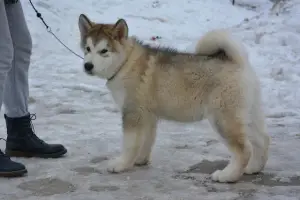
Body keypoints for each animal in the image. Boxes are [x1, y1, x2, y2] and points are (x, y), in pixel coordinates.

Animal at [77, 14, 270, 183]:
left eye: (104, 51)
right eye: (87, 49)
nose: (87, 66)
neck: (125, 63)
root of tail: (237, 62)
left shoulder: (132, 113)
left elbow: (130, 143)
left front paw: (121, 164)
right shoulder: (148, 115)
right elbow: (146, 140)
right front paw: (140, 160)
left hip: (222, 118)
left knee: (244, 149)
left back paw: (227, 175)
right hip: (246, 113)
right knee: (262, 140)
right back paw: (253, 168)